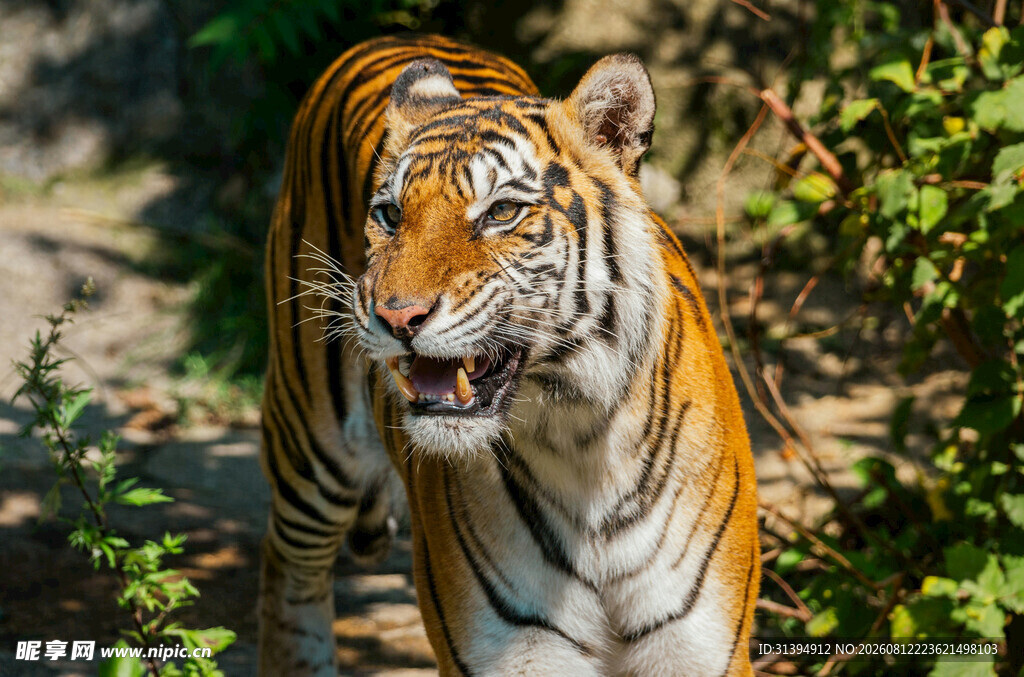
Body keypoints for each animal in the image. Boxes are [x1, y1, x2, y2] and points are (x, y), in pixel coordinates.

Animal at [258, 33, 760, 676]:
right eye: (391, 214)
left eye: (501, 212)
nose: (396, 317)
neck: (578, 438)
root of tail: (392, 36)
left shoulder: (699, 649)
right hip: (312, 446)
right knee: (287, 572)